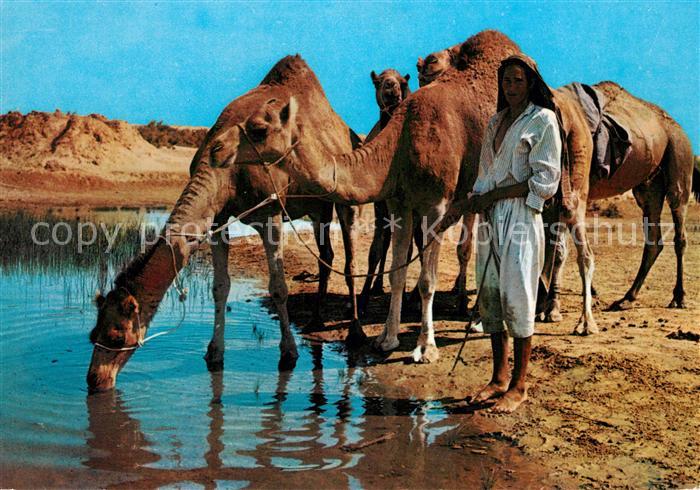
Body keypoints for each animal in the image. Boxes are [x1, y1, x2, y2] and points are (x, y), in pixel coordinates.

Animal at [87, 55, 366, 393]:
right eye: (93, 335)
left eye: (116, 336)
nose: (95, 380)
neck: (226, 170)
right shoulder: (218, 216)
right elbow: (219, 287)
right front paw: (214, 354)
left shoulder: (270, 212)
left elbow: (279, 288)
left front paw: (288, 354)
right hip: (317, 208)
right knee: (326, 255)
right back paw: (314, 321)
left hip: (343, 196)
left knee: (349, 262)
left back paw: (355, 333)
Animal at [234, 30, 522, 362]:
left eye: (259, 128)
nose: (218, 147)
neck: (403, 140)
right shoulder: (400, 204)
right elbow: (399, 272)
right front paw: (387, 338)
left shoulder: (436, 204)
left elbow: (427, 280)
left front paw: (426, 348)